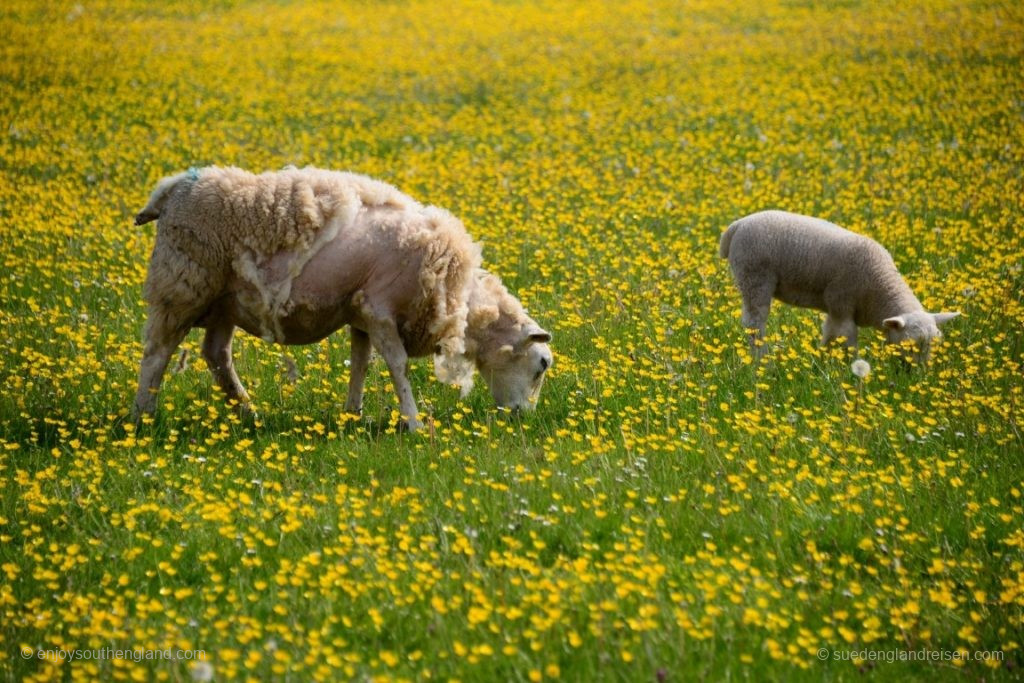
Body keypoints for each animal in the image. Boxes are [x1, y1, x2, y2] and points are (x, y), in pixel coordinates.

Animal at [135, 164, 557, 430]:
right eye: (542, 364)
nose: (522, 418)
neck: (458, 297)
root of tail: (173, 189)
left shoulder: (360, 314)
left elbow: (360, 364)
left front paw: (354, 414)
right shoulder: (379, 309)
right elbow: (398, 367)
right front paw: (414, 423)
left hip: (224, 300)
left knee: (216, 354)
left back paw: (248, 412)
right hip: (184, 282)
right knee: (157, 352)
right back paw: (144, 417)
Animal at [720, 210, 958, 362]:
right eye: (910, 344)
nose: (917, 376)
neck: (880, 290)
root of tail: (736, 226)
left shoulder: (837, 308)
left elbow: (829, 335)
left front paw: (822, 361)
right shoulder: (841, 303)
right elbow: (844, 336)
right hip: (754, 276)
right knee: (754, 322)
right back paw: (762, 360)